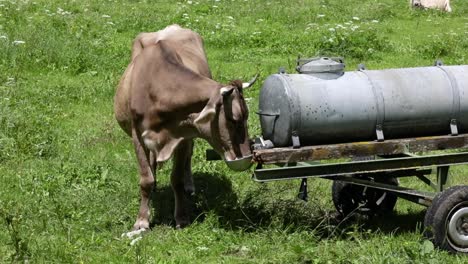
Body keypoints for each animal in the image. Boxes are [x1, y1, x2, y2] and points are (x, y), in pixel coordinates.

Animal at [114, 24, 254, 234]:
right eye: (234, 119)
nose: (247, 156)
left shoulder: (182, 136)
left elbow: (177, 179)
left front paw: (181, 217)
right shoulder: (137, 135)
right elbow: (145, 179)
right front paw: (142, 221)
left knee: (188, 157)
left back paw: (189, 185)